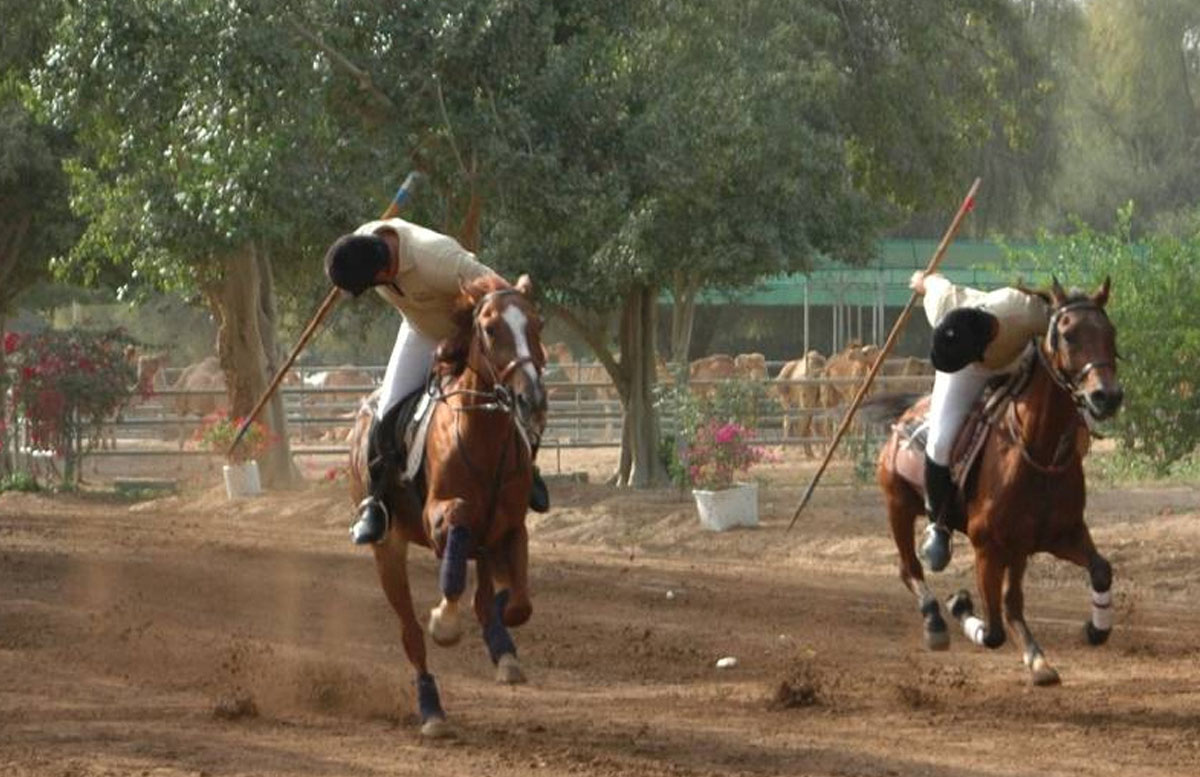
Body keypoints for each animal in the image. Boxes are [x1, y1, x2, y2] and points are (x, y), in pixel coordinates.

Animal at [345, 273, 547, 733]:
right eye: (490, 329)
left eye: (536, 325)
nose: (532, 400)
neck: (484, 437)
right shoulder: (438, 519)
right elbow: (457, 531)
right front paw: (445, 623)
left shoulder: (512, 527)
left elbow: (517, 605)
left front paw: (502, 643)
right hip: (388, 550)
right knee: (411, 635)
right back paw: (432, 709)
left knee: (487, 594)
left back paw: (501, 650)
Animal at [873, 279, 1123, 685]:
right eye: (1068, 336)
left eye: (1110, 333)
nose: (1107, 396)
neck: (1038, 452)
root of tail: (906, 415)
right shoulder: (987, 548)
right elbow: (991, 632)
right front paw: (959, 603)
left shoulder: (1061, 534)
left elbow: (1101, 570)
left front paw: (1093, 629)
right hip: (898, 504)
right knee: (909, 568)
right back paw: (935, 620)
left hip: (1017, 547)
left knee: (1012, 604)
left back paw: (1037, 658)